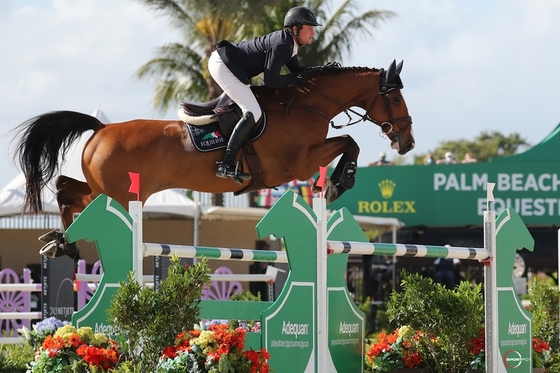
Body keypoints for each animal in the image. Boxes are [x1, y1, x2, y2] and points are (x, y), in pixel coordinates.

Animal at [12, 59, 416, 258]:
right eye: (395, 98)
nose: (408, 143)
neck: (304, 104)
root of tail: (100, 128)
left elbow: (348, 141)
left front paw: (334, 183)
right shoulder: (296, 163)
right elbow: (349, 141)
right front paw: (338, 182)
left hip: (109, 192)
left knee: (65, 189)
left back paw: (61, 243)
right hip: (118, 195)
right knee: (69, 193)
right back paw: (64, 243)